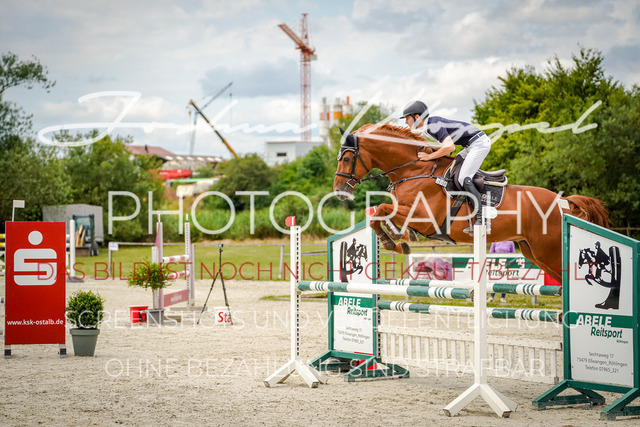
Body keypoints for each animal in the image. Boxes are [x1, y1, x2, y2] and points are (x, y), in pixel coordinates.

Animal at [333, 123, 610, 283]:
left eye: (346, 158)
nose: (338, 192)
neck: (414, 170)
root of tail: (563, 202)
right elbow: (379, 215)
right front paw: (397, 239)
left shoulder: (424, 216)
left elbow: (380, 210)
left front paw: (394, 242)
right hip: (533, 251)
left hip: (549, 252)